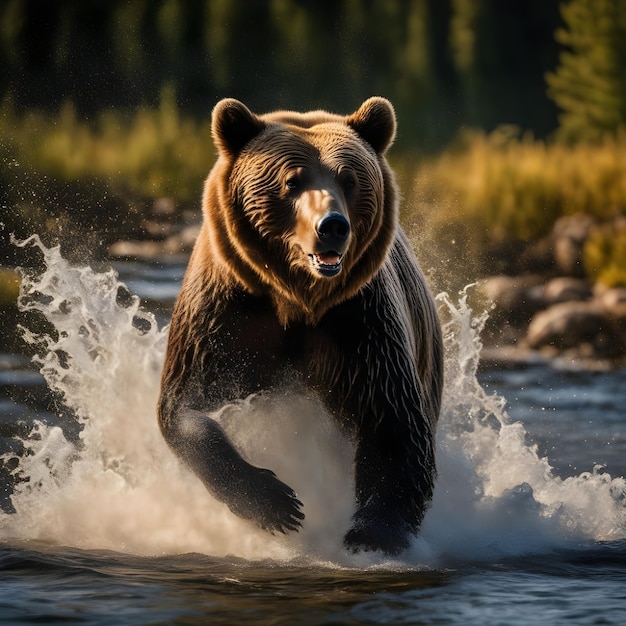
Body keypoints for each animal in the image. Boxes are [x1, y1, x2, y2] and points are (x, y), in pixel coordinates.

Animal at [161, 96, 444, 552]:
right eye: (291, 181)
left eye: (349, 179)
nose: (332, 226)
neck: (295, 299)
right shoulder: (226, 312)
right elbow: (187, 403)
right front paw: (279, 504)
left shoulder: (360, 323)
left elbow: (393, 424)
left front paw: (372, 532)